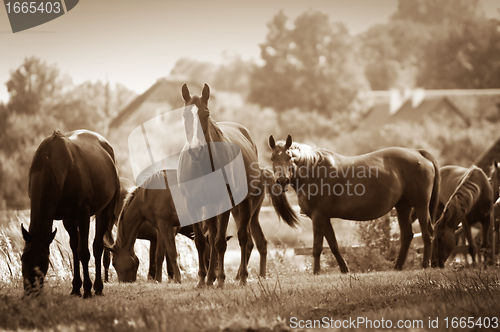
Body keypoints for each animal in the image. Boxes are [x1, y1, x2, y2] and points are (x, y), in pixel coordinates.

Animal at [21, 130, 120, 298]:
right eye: (23, 258)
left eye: (43, 260)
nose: (30, 292)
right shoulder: (68, 219)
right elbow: (74, 250)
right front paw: (76, 288)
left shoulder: (83, 216)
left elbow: (84, 252)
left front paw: (87, 289)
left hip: (105, 210)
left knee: (97, 246)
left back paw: (98, 287)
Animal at [179, 83, 298, 288]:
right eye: (185, 115)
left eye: (206, 113)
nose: (196, 150)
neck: (202, 166)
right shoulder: (192, 205)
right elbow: (202, 242)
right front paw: (202, 280)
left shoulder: (225, 203)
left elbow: (220, 242)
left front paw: (220, 280)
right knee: (214, 236)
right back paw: (210, 278)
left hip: (244, 205)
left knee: (245, 238)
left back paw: (241, 276)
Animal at [270, 135, 438, 272]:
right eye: (272, 158)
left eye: (289, 157)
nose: (282, 180)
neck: (314, 172)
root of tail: (418, 152)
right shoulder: (325, 218)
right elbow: (333, 245)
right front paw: (345, 270)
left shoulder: (318, 217)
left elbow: (317, 247)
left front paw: (316, 272)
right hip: (403, 205)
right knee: (407, 235)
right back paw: (398, 267)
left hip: (420, 205)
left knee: (427, 233)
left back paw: (425, 265)